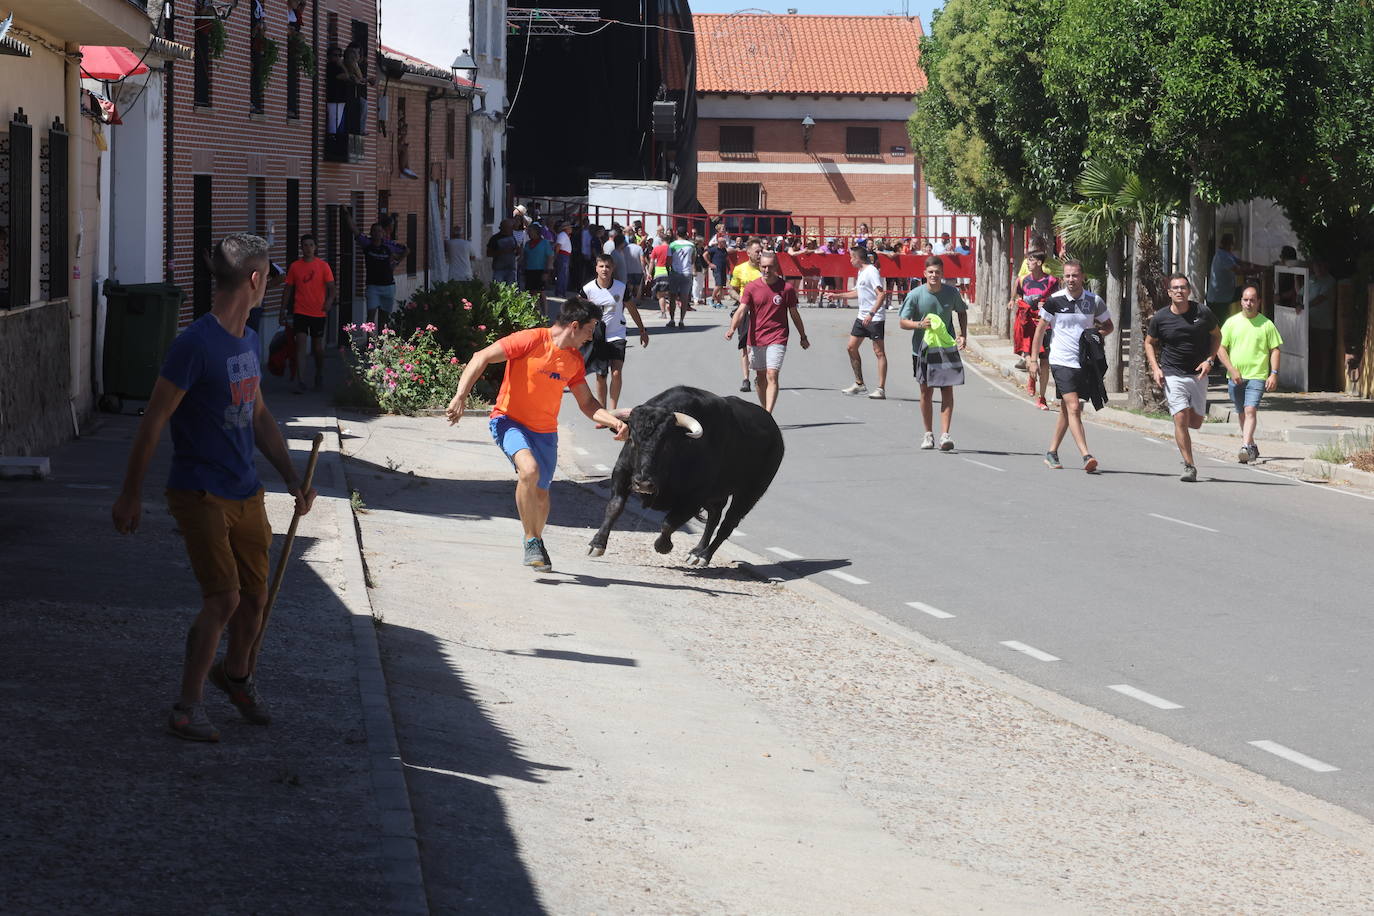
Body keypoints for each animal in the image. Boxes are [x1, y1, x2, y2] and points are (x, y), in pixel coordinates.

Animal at [590, 387, 785, 565]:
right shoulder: (622, 473)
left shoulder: (695, 497)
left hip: (749, 493)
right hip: (717, 495)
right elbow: (615, 506)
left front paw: (663, 546)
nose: (644, 484)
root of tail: (774, 430)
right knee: (714, 516)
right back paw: (697, 551)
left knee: (728, 523)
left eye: (666, 443)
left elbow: (669, 522)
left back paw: (704, 556)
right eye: (631, 440)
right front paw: (597, 543)